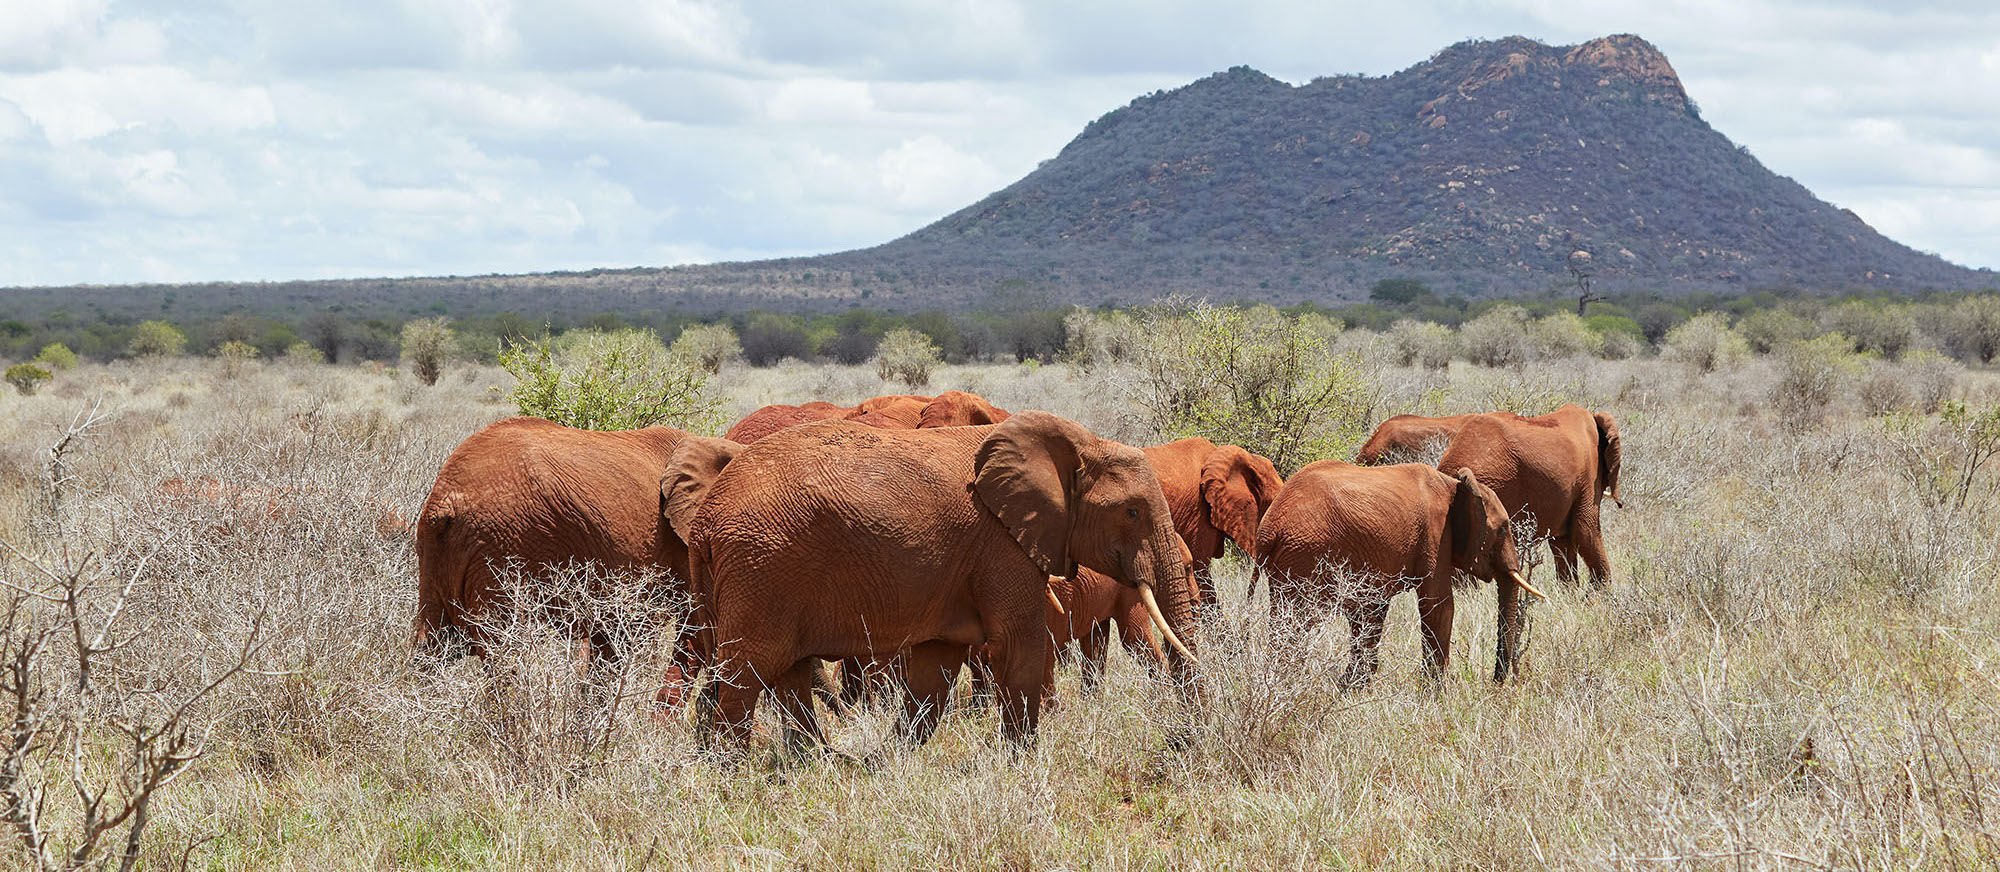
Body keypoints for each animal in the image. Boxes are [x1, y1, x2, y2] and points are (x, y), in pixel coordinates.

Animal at [680, 410, 1192, 748]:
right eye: (1132, 511)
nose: (1181, 739)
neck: (1080, 442)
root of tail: (706, 520)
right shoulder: (1001, 543)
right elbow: (1020, 646)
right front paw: (1022, 766)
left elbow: (936, 668)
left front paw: (890, 761)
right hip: (760, 568)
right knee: (747, 676)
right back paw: (733, 776)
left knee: (785, 678)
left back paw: (818, 762)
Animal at [1240, 464, 1536, 688]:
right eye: (1503, 529)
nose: (1496, 684)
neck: (1456, 485)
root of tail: (1267, 529)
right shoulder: (1435, 535)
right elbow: (1439, 605)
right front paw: (1434, 694)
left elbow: (1371, 612)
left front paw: (1354, 686)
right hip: (1304, 556)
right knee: (1296, 624)